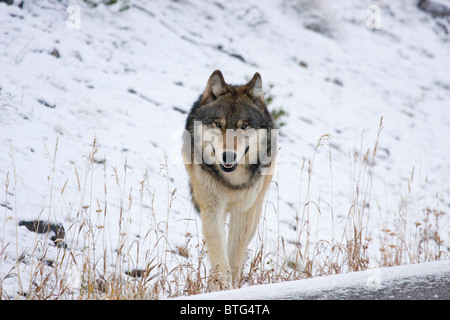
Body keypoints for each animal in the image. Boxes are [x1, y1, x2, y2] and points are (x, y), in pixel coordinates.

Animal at [183, 70, 278, 290]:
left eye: (244, 126)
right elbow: (219, 254)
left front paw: (229, 286)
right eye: (218, 124)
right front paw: (220, 286)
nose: (228, 156)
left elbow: (234, 256)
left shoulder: (243, 211)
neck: (231, 182)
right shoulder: (211, 208)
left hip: (256, 209)